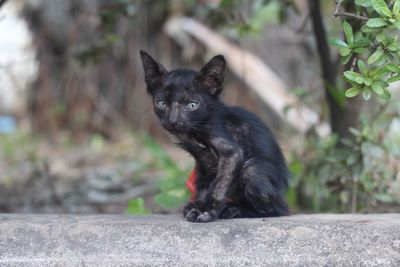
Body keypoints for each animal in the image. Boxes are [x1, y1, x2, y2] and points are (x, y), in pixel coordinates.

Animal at [140, 50, 288, 224]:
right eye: (161, 103)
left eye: (192, 105)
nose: (173, 121)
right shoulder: (202, 161)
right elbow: (203, 186)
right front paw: (197, 205)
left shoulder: (231, 151)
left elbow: (218, 184)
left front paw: (206, 211)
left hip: (252, 170)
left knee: (279, 209)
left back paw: (234, 210)